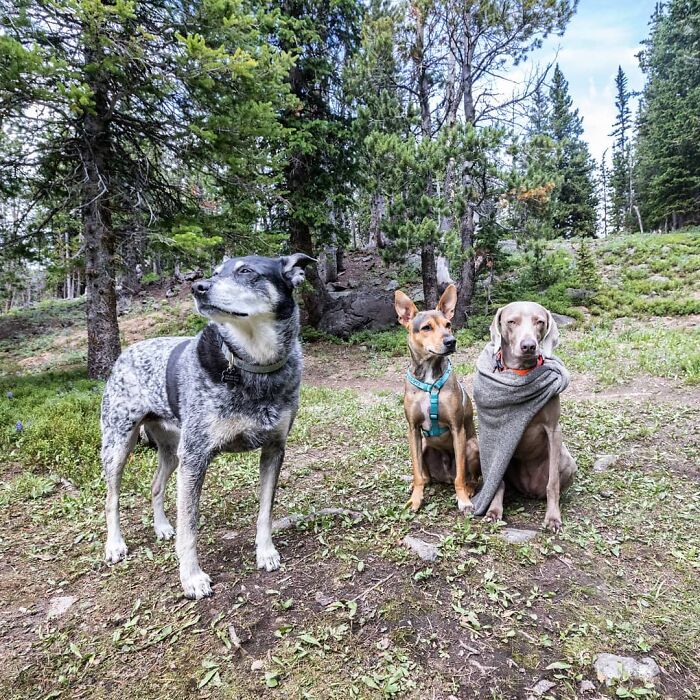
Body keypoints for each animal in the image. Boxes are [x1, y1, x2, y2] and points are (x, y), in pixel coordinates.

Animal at [99, 254, 314, 600]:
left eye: (246, 271)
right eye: (214, 272)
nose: (197, 287)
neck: (253, 364)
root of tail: (127, 351)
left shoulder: (274, 449)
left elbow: (265, 510)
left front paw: (265, 552)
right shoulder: (196, 458)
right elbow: (189, 526)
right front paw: (192, 578)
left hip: (172, 450)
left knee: (156, 485)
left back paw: (162, 527)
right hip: (120, 444)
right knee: (111, 498)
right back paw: (115, 545)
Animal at [394, 286, 482, 516]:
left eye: (448, 325)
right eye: (426, 327)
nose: (451, 341)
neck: (429, 377)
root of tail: (444, 477)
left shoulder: (457, 428)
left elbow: (461, 475)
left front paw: (463, 500)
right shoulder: (413, 430)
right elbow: (417, 472)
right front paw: (416, 500)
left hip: (472, 446)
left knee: (470, 477)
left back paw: (469, 490)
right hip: (425, 446)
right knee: (425, 476)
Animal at [484, 302, 576, 532]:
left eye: (539, 321)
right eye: (511, 321)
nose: (528, 346)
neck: (521, 375)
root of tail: (529, 490)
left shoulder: (554, 430)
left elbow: (553, 483)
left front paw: (553, 518)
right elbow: (496, 480)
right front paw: (494, 511)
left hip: (567, 461)